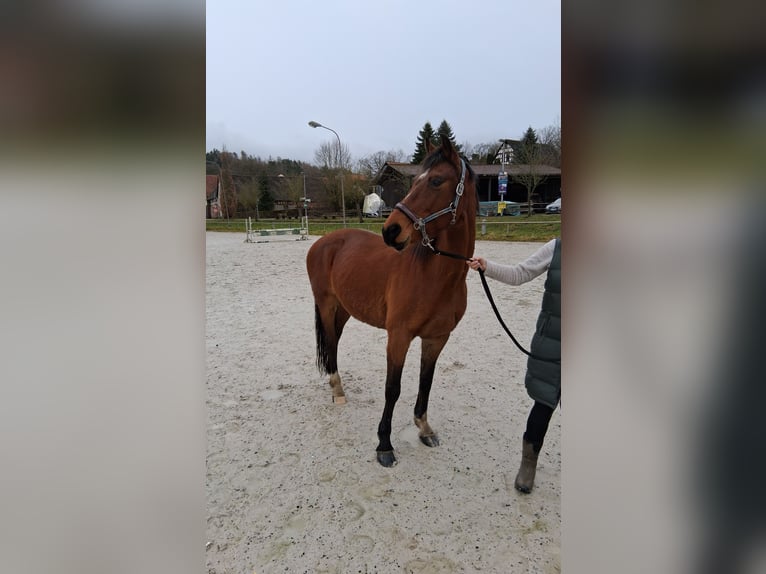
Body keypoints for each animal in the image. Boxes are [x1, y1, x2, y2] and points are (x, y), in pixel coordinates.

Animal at [306, 135, 477, 467]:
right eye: (415, 180)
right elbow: (392, 389)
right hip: (327, 304)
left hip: (344, 309)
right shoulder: (398, 336)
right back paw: (338, 390)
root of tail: (324, 241)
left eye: (436, 181)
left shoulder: (437, 338)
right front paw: (384, 444)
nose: (391, 230)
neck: (435, 276)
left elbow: (425, 382)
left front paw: (424, 428)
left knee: (334, 342)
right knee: (330, 341)